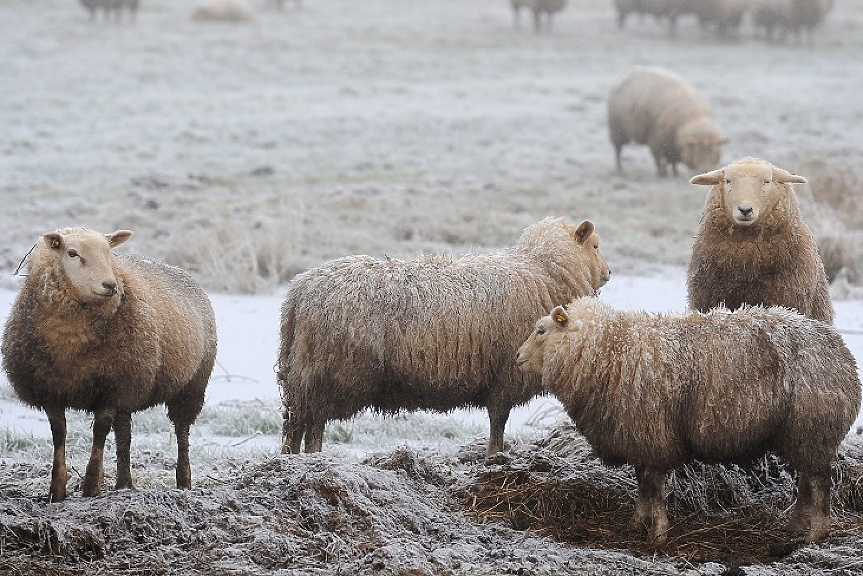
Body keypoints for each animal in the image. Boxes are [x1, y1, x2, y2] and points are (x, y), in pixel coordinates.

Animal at [1, 227, 218, 502]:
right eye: (72, 253)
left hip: (190, 385)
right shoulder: (51, 391)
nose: (110, 285)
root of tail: (181, 271)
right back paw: (123, 484)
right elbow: (59, 434)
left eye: (108, 252)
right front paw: (57, 490)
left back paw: (184, 483)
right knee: (124, 435)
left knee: (182, 432)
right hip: (132, 390)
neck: (70, 342)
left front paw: (91, 486)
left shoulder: (112, 389)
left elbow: (100, 433)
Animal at [276, 216, 608, 454]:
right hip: (327, 376)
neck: (542, 271)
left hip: (299, 377)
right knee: (313, 426)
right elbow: (498, 424)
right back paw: (315, 459)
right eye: (595, 246)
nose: (609, 273)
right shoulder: (505, 376)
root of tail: (299, 291)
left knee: (295, 426)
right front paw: (494, 458)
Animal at [516, 296, 860, 544]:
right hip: (803, 434)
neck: (610, 350)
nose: (517, 357)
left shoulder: (651, 436)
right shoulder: (639, 438)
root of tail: (843, 353)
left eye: (541, 330)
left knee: (819, 483)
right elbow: (642, 486)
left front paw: (658, 533)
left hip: (813, 428)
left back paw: (816, 532)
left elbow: (653, 489)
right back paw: (795, 526)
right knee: (806, 482)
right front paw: (637, 523)